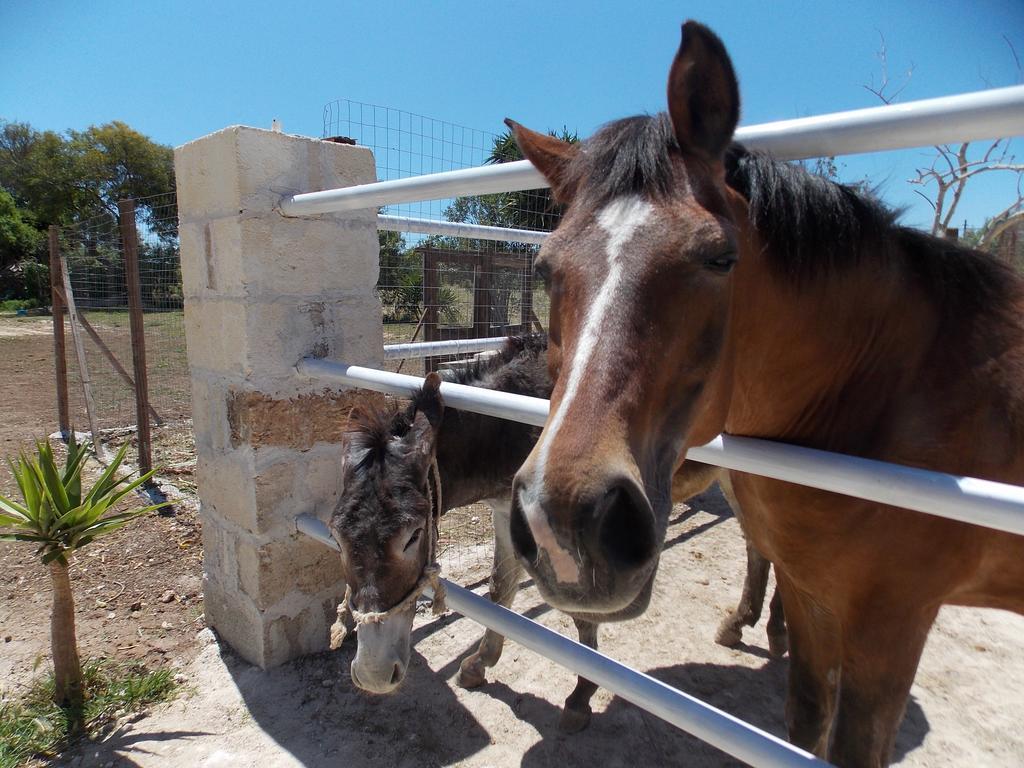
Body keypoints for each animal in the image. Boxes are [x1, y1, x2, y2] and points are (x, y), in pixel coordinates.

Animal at [503, 19, 1024, 768]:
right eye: (546, 267)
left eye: (721, 257)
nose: (566, 527)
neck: (892, 390)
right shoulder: (815, 596)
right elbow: (804, 719)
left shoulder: (892, 625)